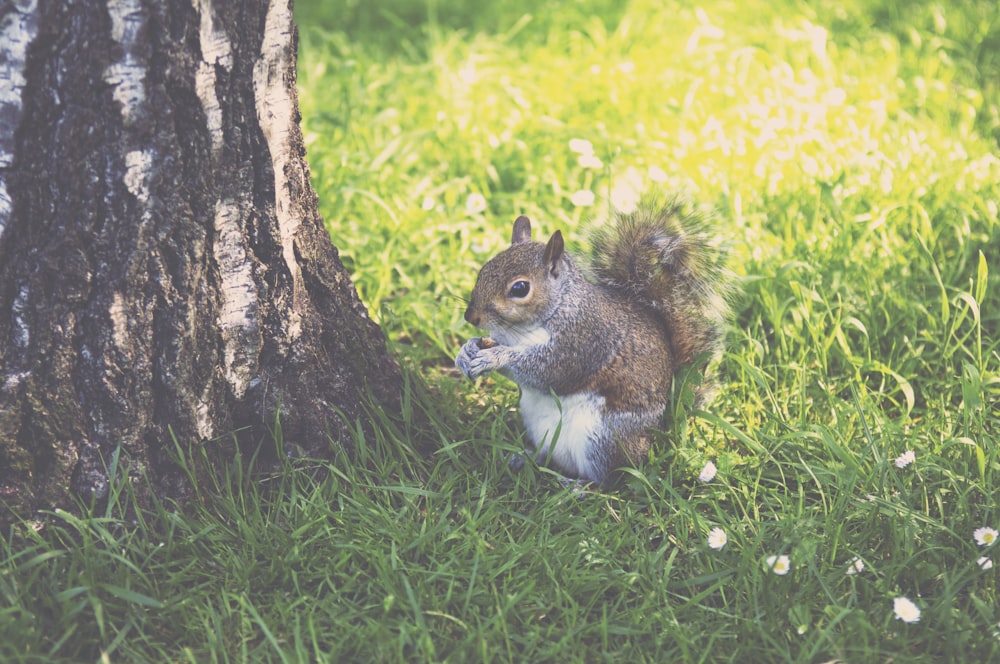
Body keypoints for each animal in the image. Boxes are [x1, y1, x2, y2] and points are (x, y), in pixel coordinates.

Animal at [458, 198, 732, 488]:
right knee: (548, 455)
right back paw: (526, 458)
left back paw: (577, 487)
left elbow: (548, 372)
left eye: (520, 288)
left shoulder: (583, 342)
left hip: (605, 438)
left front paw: (495, 358)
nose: (471, 317)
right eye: (483, 270)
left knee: (608, 480)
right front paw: (466, 351)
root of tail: (657, 434)